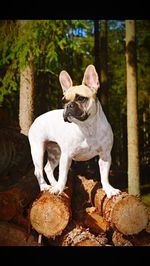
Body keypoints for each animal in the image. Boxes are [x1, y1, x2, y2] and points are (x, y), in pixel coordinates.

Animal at [28, 64, 120, 197]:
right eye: (63, 101)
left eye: (81, 98)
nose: (68, 106)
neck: (87, 128)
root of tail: (36, 119)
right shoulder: (66, 156)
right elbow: (63, 175)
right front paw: (59, 188)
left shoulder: (105, 155)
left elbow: (104, 176)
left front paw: (109, 189)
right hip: (38, 150)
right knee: (38, 170)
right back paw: (45, 186)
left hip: (55, 152)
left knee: (48, 168)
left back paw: (54, 184)